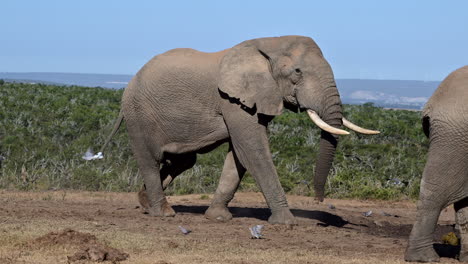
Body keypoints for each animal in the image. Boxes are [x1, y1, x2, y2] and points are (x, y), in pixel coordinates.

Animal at [101, 35, 376, 225]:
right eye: (297, 72)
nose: (319, 200)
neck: (269, 44)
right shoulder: (232, 99)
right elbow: (253, 150)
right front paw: (286, 222)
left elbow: (239, 155)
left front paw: (218, 218)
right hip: (138, 114)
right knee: (150, 160)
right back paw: (164, 213)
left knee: (183, 161)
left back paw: (144, 202)